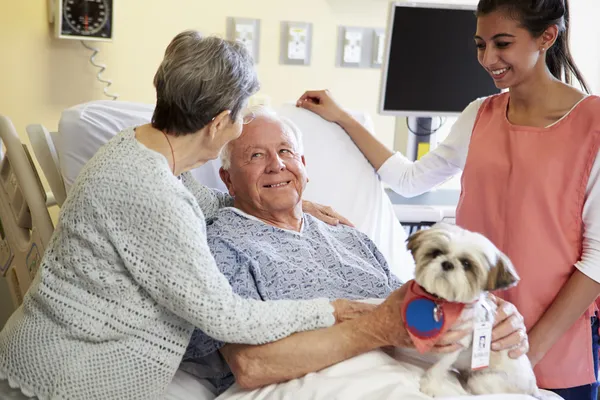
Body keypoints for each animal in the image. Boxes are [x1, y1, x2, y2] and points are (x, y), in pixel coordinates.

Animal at [404, 223, 540, 398]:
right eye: (436, 253)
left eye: (466, 264)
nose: (447, 263)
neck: (444, 303)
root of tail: (532, 387)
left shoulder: (457, 343)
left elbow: (440, 366)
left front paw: (430, 385)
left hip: (483, 380)